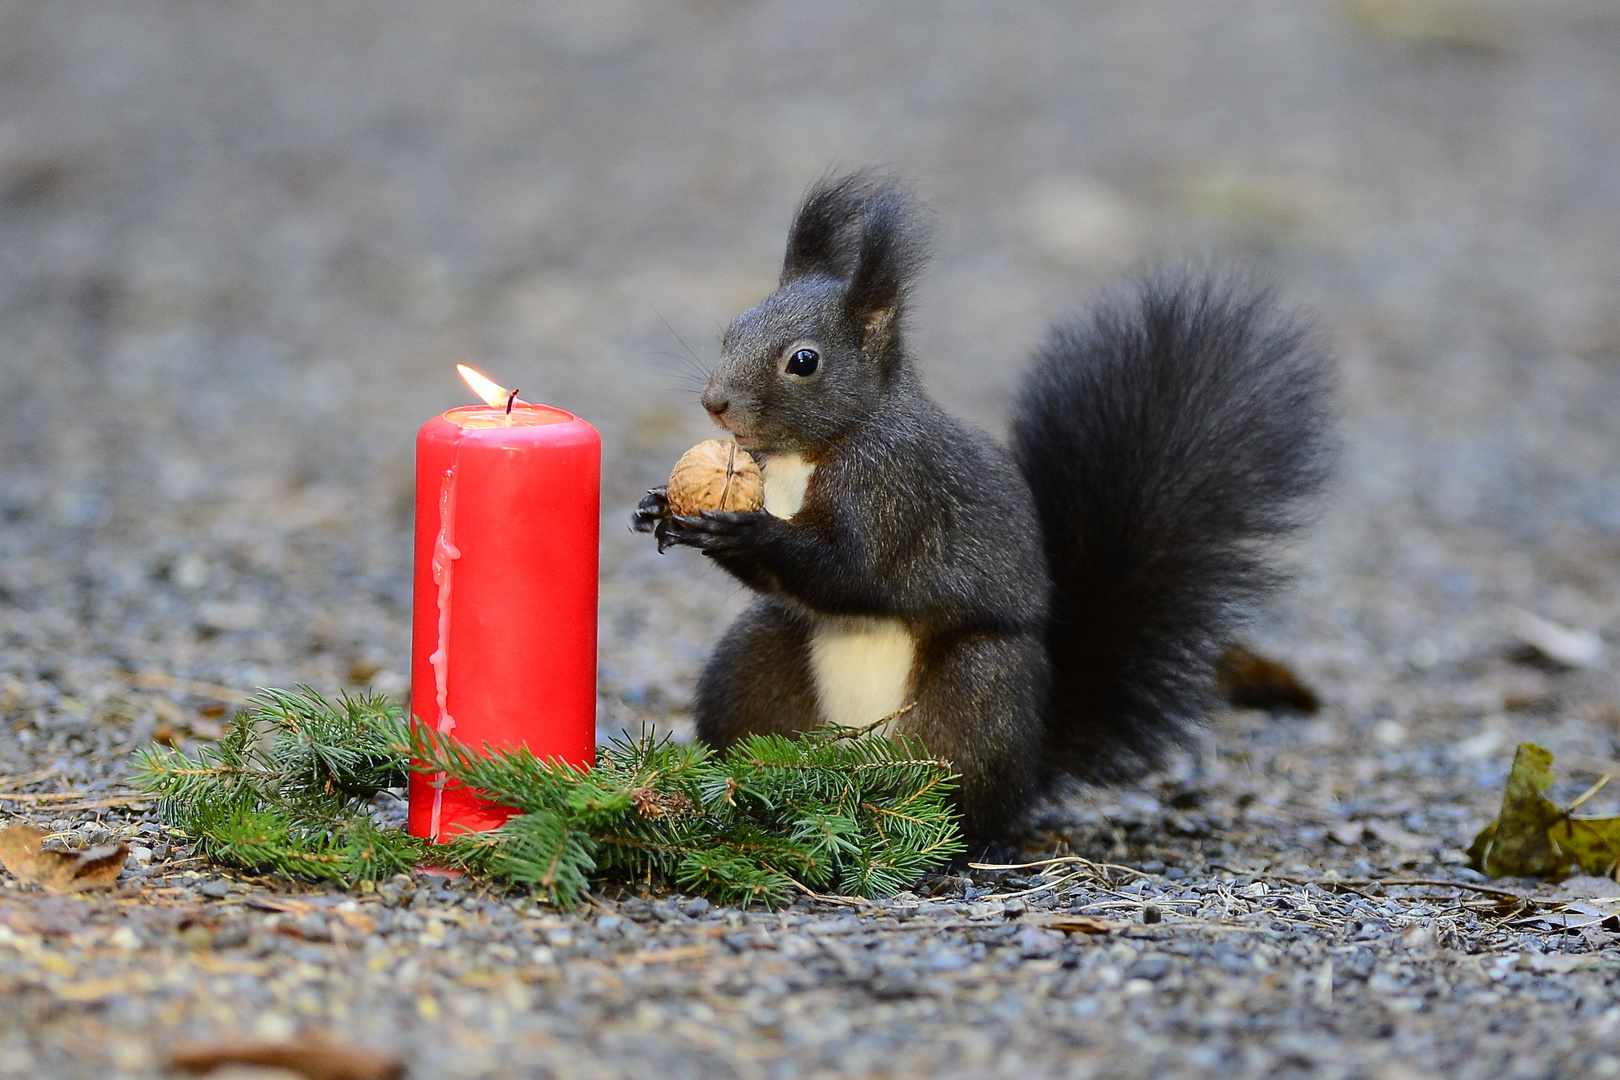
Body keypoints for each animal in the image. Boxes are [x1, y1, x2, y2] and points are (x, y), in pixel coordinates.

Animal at [628, 170, 1328, 841]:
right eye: (732, 329)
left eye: (804, 361)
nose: (715, 403)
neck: (812, 452)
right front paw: (658, 507)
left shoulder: (897, 487)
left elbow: (853, 570)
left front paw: (746, 529)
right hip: (752, 668)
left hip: (976, 698)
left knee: (968, 801)